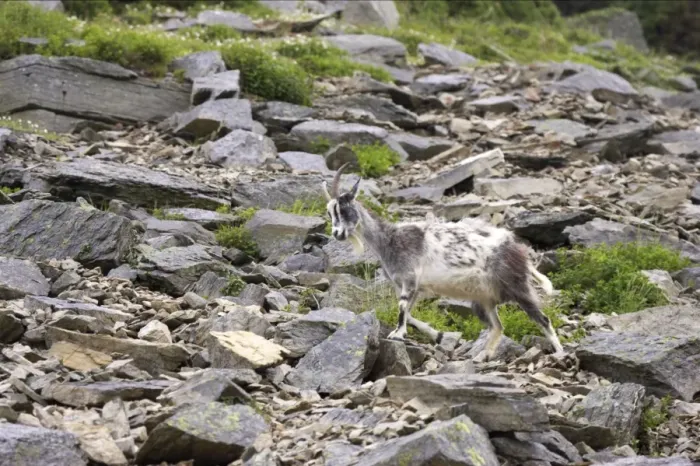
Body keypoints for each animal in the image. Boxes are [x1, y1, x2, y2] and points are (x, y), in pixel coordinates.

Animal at [322, 163, 565, 362]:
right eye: (330, 211)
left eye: (344, 209)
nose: (337, 234)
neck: (389, 240)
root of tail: (516, 248)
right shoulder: (412, 287)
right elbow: (408, 313)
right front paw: (436, 334)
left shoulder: (410, 280)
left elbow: (401, 309)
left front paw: (397, 334)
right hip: (484, 301)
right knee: (498, 326)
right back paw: (482, 356)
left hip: (517, 287)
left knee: (543, 319)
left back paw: (560, 353)